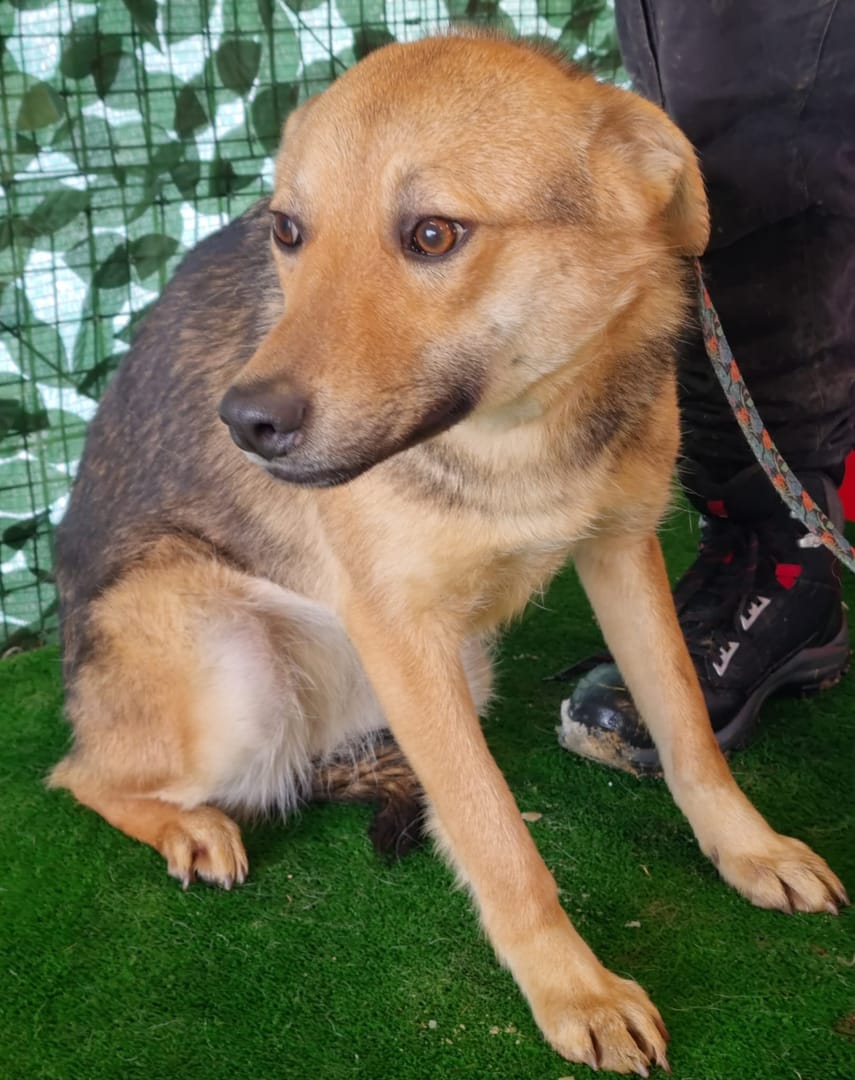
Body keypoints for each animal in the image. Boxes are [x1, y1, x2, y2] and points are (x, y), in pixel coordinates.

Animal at [50, 31, 847, 1075]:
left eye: (432, 235)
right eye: (288, 231)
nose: (243, 423)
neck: (518, 431)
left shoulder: (621, 549)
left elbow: (686, 733)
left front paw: (748, 851)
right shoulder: (402, 632)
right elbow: (495, 834)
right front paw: (576, 991)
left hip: (458, 669)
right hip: (235, 679)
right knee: (80, 774)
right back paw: (189, 827)